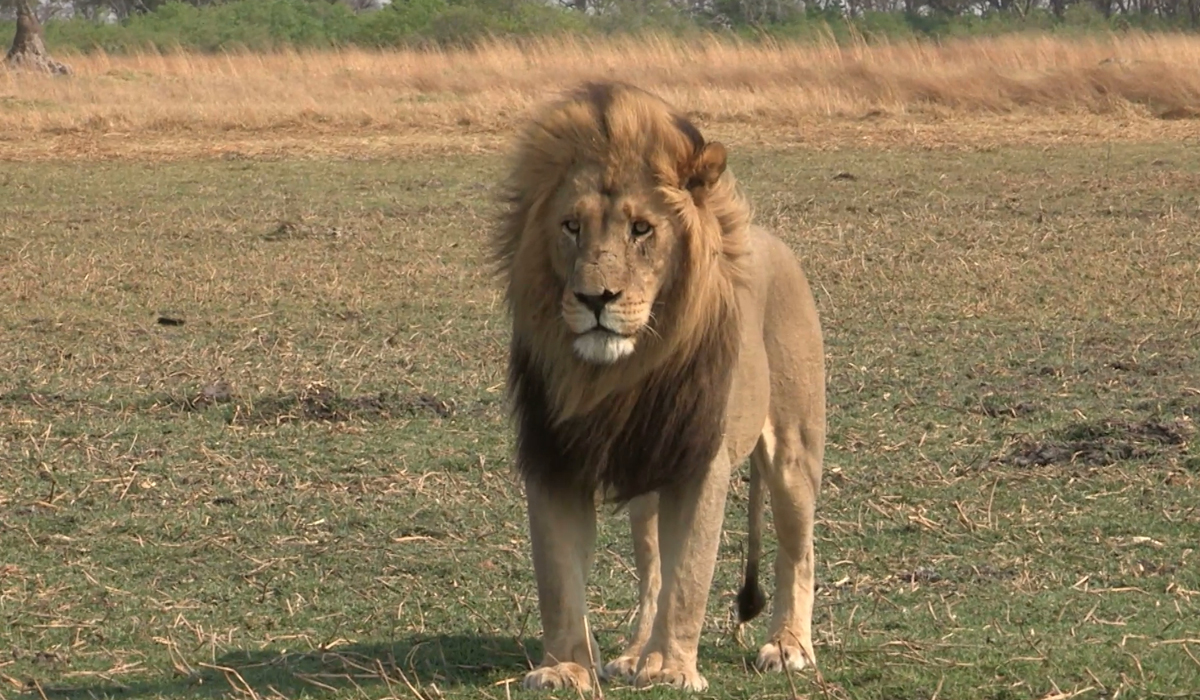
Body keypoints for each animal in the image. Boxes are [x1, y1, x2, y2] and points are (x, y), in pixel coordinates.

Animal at [489, 79, 825, 691]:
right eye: (571, 226)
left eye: (642, 228)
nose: (595, 298)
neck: (617, 377)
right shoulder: (554, 459)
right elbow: (558, 578)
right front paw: (565, 667)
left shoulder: (699, 461)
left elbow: (689, 574)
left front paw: (671, 669)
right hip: (646, 483)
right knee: (651, 573)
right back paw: (634, 653)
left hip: (793, 449)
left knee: (797, 549)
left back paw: (789, 647)